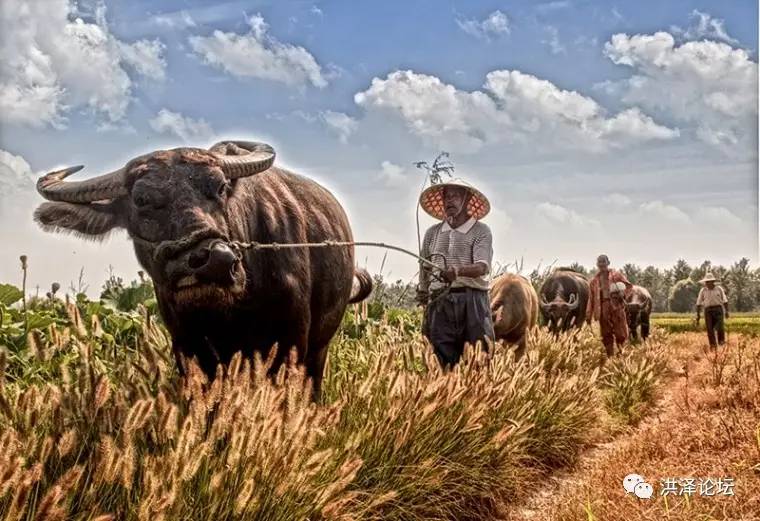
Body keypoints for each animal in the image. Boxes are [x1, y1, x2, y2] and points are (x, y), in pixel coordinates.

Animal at [34, 140, 372, 396]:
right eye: (141, 199)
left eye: (220, 187)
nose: (216, 261)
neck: (230, 310)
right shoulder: (189, 347)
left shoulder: (291, 343)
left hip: (320, 346)